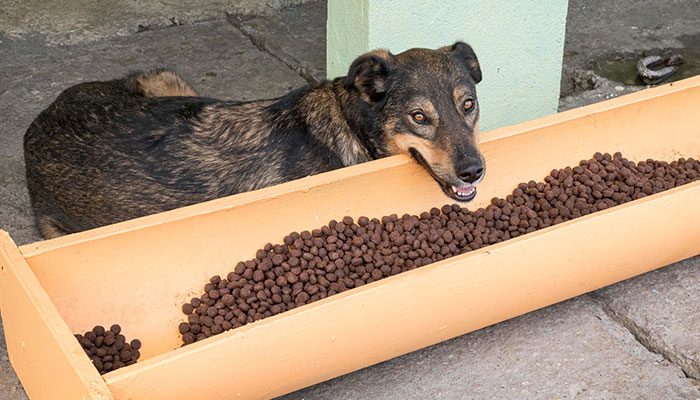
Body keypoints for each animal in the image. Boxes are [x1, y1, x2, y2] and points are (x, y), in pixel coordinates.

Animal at [24, 42, 484, 239]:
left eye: (468, 105)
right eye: (419, 117)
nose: (474, 170)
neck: (350, 124)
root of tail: (38, 124)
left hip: (171, 83)